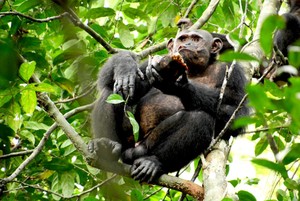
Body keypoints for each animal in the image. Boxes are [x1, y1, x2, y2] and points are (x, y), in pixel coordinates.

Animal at [88, 29, 248, 182]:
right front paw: (125, 67)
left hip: (146, 147)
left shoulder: (233, 72)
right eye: (182, 38)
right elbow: (110, 81)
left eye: (196, 39)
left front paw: (176, 86)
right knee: (110, 93)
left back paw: (153, 163)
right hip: (129, 139)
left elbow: (237, 111)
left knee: (200, 118)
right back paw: (106, 144)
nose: (187, 44)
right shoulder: (149, 65)